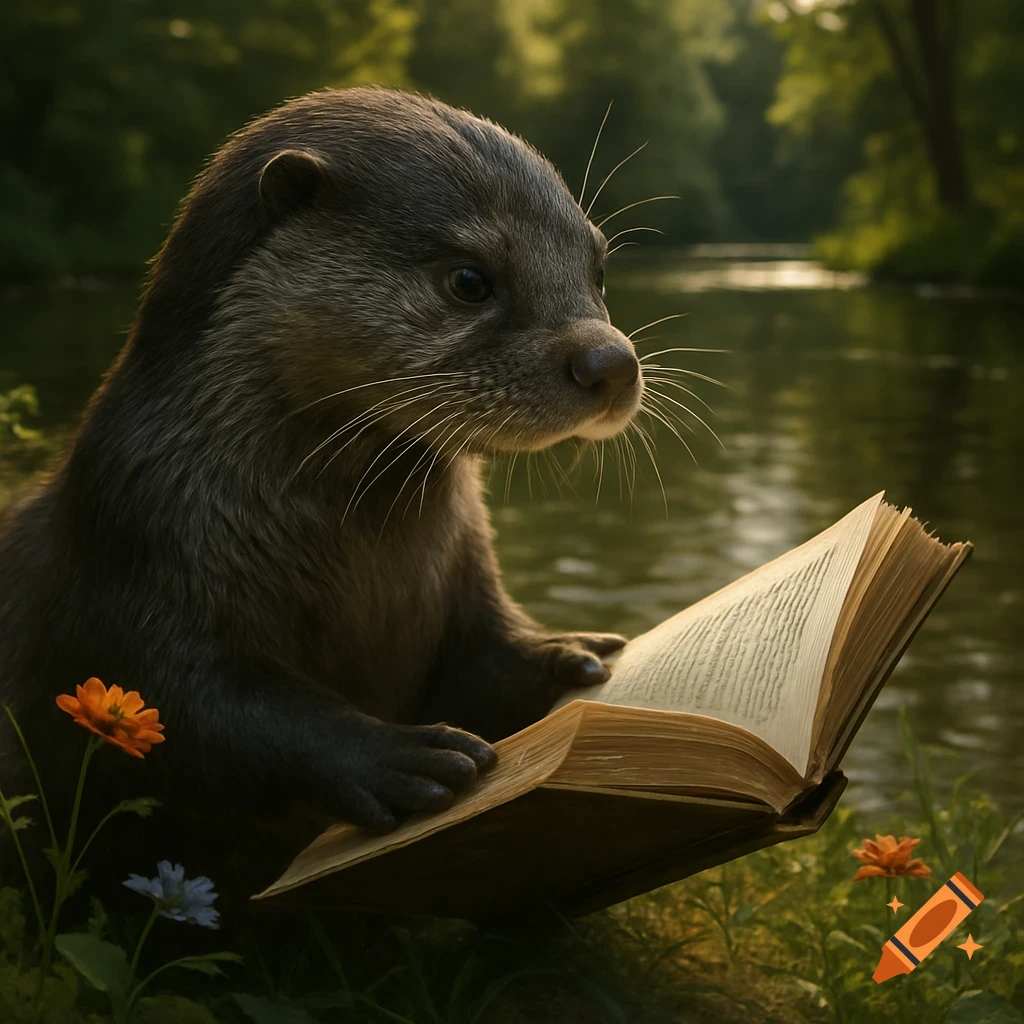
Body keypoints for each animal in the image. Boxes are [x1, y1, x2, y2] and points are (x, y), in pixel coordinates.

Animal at [0, 88, 643, 901]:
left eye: (599, 269)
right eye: (469, 279)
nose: (610, 361)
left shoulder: (464, 574)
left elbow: (484, 654)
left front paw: (570, 649)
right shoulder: (132, 547)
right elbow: (201, 706)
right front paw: (396, 756)